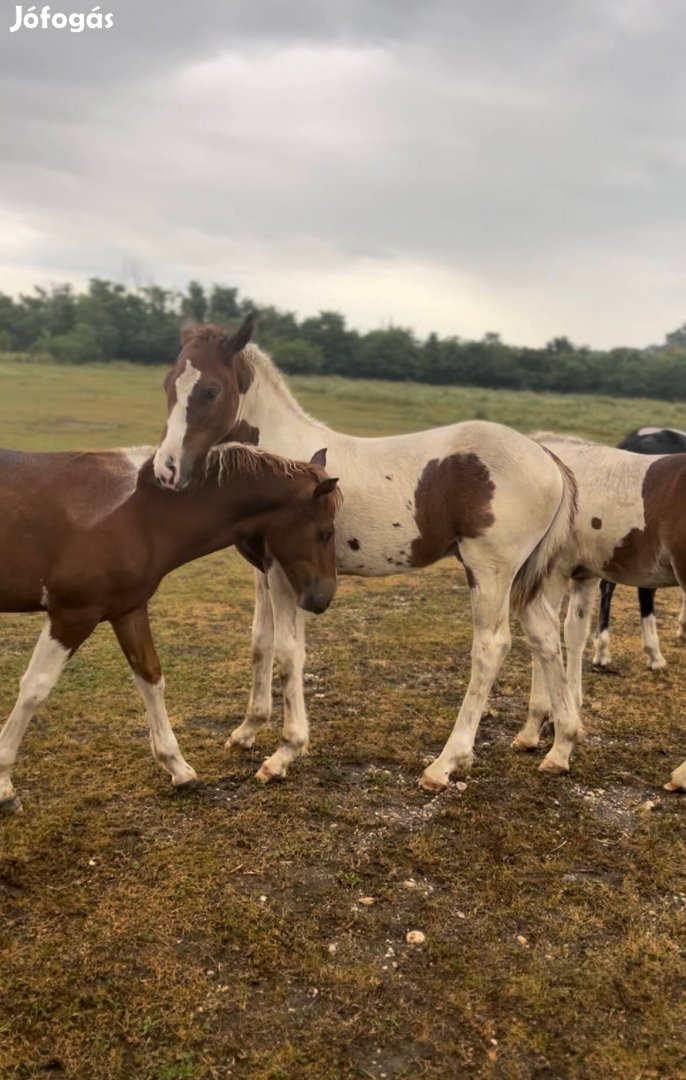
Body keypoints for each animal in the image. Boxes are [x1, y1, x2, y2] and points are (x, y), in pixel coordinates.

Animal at [0, 438, 341, 812]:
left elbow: (150, 677)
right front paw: (3, 784)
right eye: (325, 533)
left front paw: (177, 767)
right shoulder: (72, 615)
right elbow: (35, 688)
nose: (322, 598)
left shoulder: (128, 610)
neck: (140, 516)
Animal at [155, 324, 579, 790]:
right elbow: (260, 643)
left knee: (491, 647)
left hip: (490, 572)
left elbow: (288, 651)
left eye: (211, 390)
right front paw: (247, 730)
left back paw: (445, 763)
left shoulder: (290, 575)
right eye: (168, 385)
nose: (166, 470)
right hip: (523, 578)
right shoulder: (265, 570)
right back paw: (559, 746)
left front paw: (285, 752)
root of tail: (549, 458)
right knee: (545, 636)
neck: (281, 462)